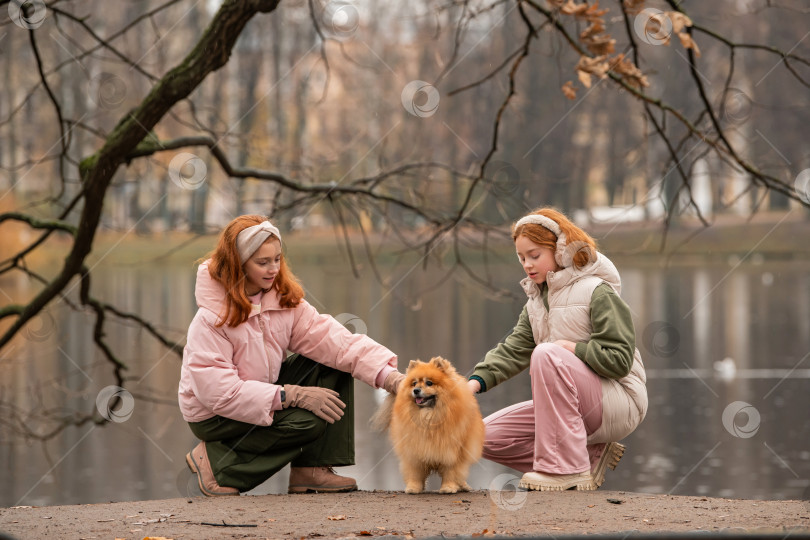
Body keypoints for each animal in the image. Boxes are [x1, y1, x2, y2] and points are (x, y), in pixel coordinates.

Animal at [370, 356, 480, 496]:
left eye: (429, 383)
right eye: (414, 383)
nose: (416, 390)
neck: (428, 414)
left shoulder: (452, 451)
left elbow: (451, 471)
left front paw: (448, 487)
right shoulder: (414, 450)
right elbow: (415, 473)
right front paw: (413, 488)